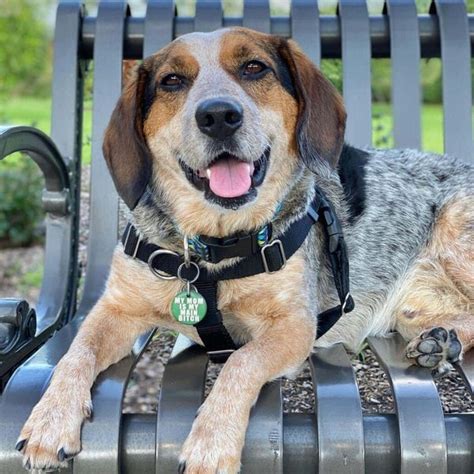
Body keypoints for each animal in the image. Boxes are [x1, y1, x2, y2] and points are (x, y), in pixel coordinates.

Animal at [16, 27, 472, 472]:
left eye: (254, 67)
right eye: (172, 80)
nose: (218, 116)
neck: (211, 248)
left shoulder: (294, 326)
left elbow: (241, 362)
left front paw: (211, 444)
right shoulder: (116, 308)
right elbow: (76, 353)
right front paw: (49, 420)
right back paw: (438, 341)